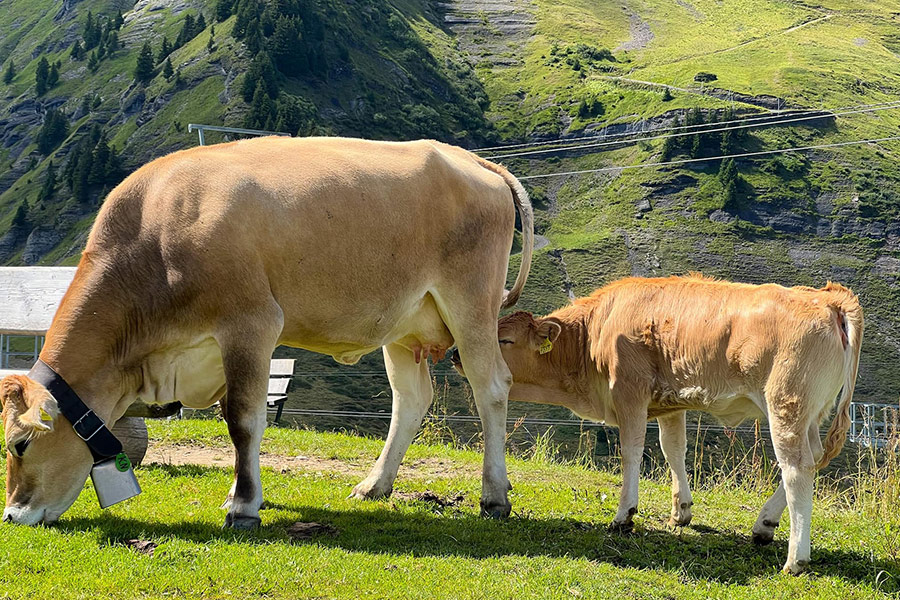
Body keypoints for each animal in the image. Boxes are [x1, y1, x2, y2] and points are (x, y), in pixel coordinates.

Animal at [0, 136, 533, 528]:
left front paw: (243, 507)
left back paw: (494, 497)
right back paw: (374, 485)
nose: (12, 514)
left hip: (471, 302)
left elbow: (241, 419)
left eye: (19, 444)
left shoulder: (251, 324)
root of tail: (469, 157)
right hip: (404, 324)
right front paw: (240, 494)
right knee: (411, 399)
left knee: (491, 387)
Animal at [451, 274, 863, 574]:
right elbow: (673, 450)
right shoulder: (669, 404)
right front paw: (681, 511)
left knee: (797, 468)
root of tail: (828, 298)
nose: (456, 354)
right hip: (810, 413)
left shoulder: (629, 392)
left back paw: (796, 558)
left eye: (504, 340)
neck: (592, 335)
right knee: (813, 459)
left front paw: (624, 515)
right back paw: (763, 525)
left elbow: (632, 451)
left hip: (786, 404)